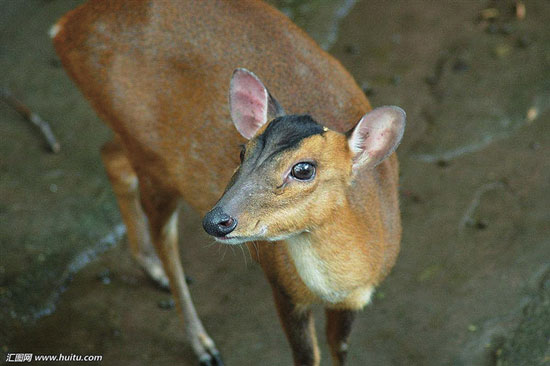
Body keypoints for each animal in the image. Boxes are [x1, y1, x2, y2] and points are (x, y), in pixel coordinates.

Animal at [51, 1, 406, 364]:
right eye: (242, 151)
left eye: (304, 169)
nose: (217, 221)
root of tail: (65, 27)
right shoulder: (282, 286)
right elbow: (307, 356)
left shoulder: (353, 300)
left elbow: (339, 349)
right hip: (153, 158)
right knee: (164, 235)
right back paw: (200, 340)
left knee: (110, 157)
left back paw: (150, 266)